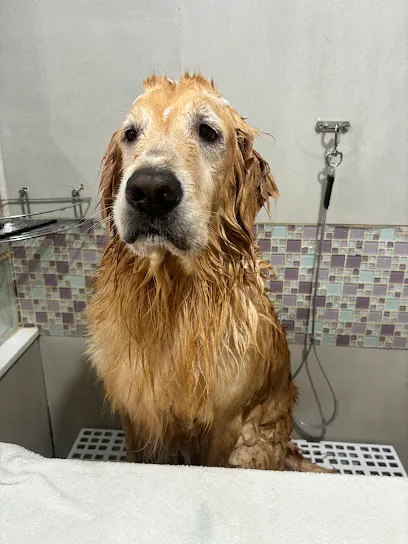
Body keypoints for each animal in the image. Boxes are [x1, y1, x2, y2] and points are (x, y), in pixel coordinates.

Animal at [88, 73, 326, 472]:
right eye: (131, 133)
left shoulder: (225, 422)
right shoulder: (132, 412)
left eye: (208, 132)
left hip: (252, 445)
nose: (150, 190)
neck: (173, 294)